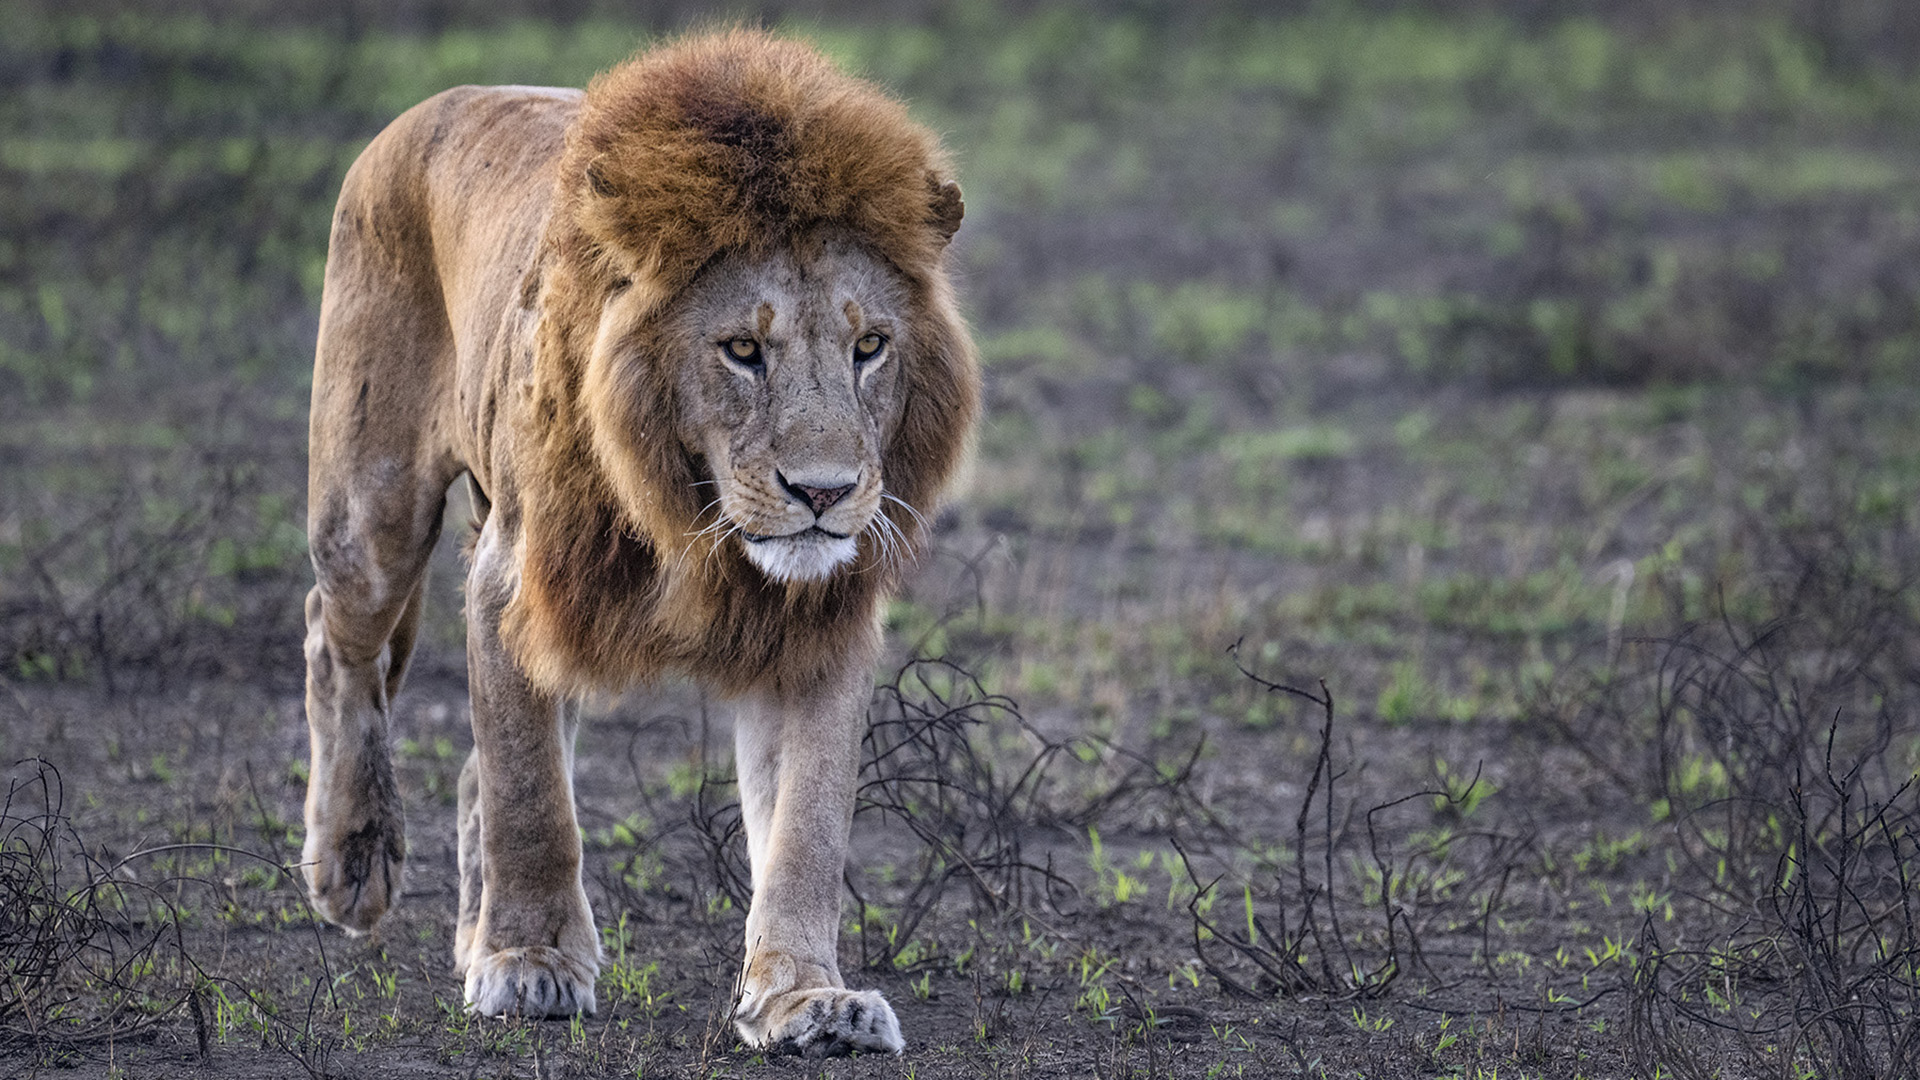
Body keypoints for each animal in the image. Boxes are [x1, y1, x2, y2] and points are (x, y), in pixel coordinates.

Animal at [297, 31, 975, 1053]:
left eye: (871, 348)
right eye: (742, 350)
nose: (823, 493)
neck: (696, 520)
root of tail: (432, 107)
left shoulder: (819, 626)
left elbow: (807, 828)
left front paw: (807, 998)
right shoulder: (512, 584)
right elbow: (533, 797)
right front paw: (529, 963)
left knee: (470, 762)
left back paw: (468, 928)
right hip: (371, 511)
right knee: (335, 642)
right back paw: (353, 863)